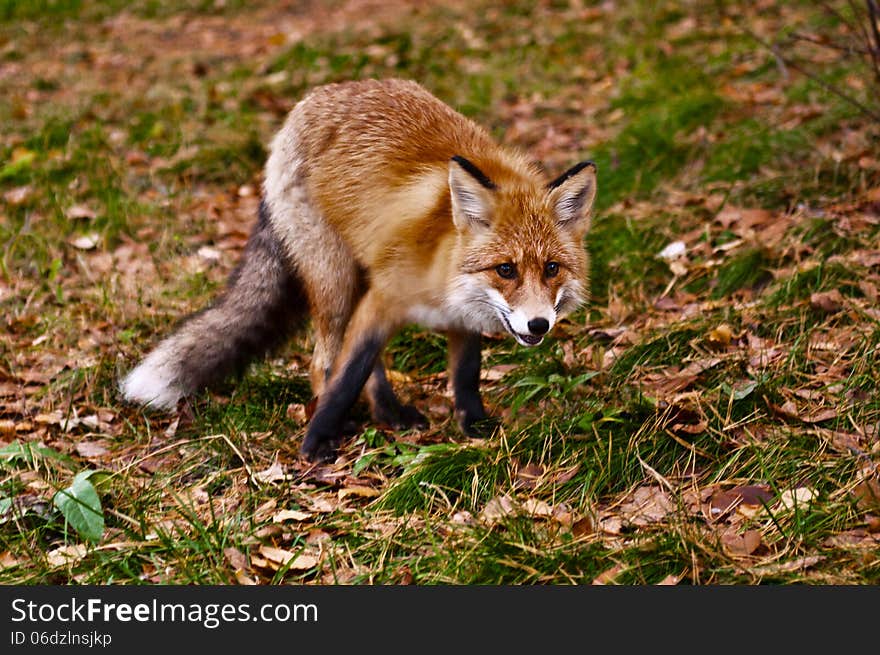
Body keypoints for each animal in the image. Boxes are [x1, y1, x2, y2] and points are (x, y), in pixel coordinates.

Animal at [118, 78, 600, 462]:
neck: (443, 265)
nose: (538, 324)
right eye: (506, 269)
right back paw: (346, 418)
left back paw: (388, 412)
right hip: (336, 281)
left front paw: (473, 423)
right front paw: (315, 442)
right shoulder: (385, 298)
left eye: (551, 268)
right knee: (323, 363)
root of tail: (315, 98)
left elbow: (465, 375)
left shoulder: (459, 316)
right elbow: (347, 377)